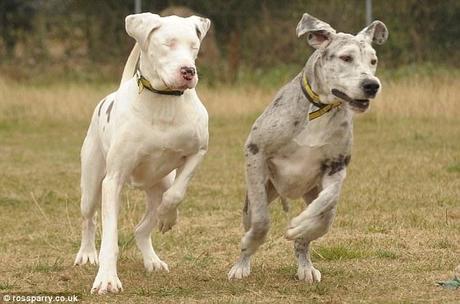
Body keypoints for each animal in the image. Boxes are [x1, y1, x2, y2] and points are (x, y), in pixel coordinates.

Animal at [74, 12, 212, 294]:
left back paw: (153, 258)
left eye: (194, 46)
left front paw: (169, 216)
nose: (188, 71)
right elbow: (110, 237)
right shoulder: (113, 181)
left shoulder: (198, 152)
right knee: (89, 219)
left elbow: (177, 193)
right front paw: (107, 278)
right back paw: (87, 253)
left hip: (157, 186)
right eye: (168, 43)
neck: (163, 100)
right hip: (91, 184)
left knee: (143, 227)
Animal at [226, 12, 388, 282]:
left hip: (313, 191)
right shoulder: (255, 153)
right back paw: (242, 265)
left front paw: (301, 225)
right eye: (346, 57)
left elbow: (325, 208)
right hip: (260, 193)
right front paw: (248, 248)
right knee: (253, 221)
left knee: (319, 223)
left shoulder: (337, 167)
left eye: (373, 60)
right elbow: (261, 222)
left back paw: (306, 265)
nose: (372, 85)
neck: (319, 110)